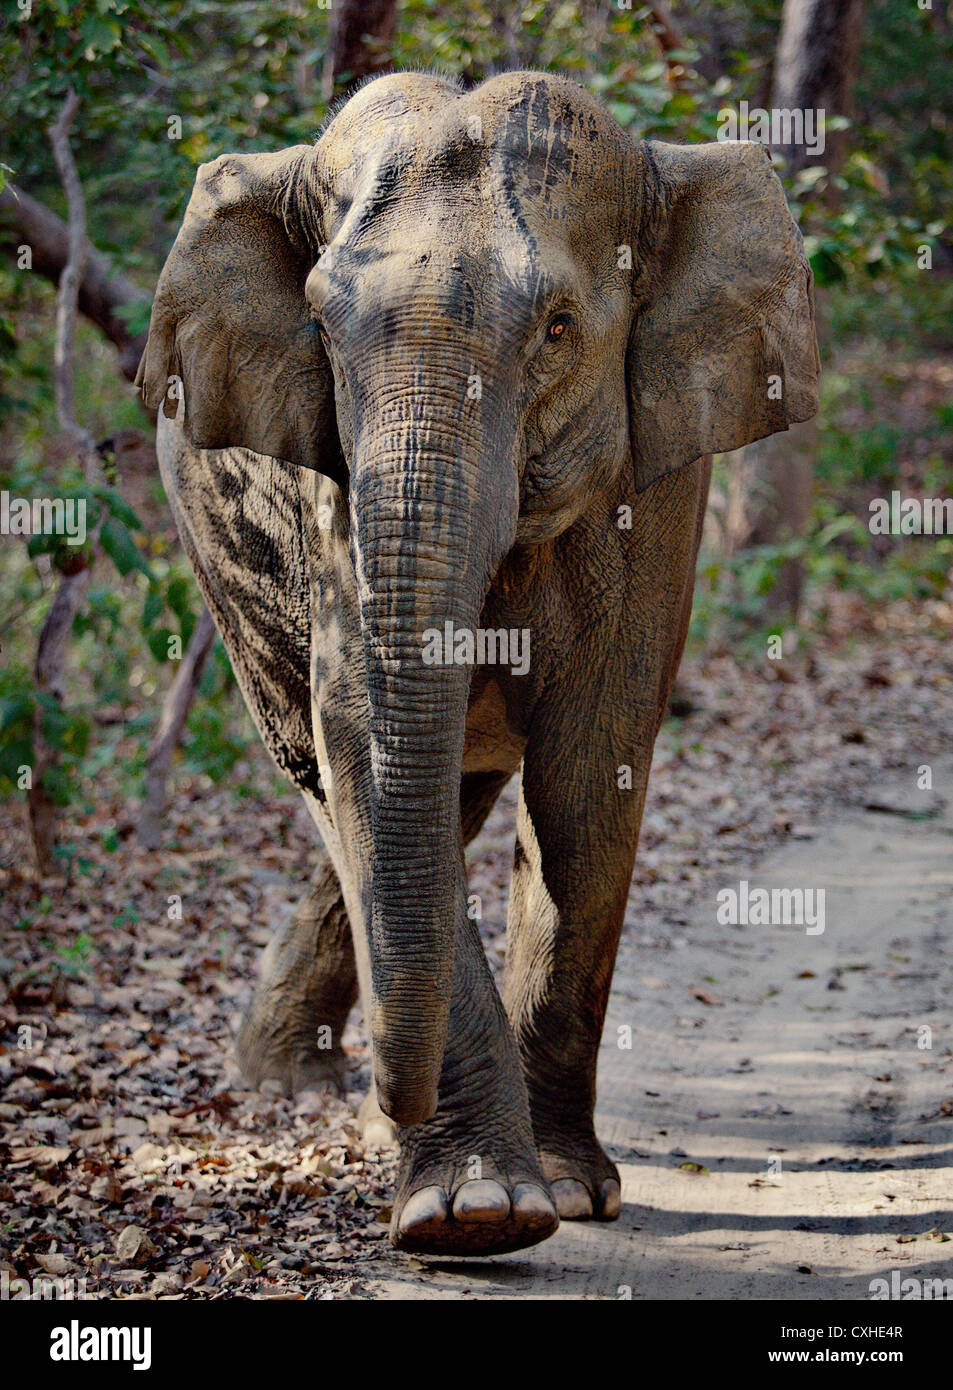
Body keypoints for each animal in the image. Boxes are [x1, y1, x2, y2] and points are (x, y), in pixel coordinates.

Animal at [136, 67, 822, 1262]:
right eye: (320, 326)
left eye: (557, 328)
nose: (387, 1102)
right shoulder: (325, 485)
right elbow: (359, 752)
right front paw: (474, 1215)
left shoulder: (657, 474)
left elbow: (590, 771)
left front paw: (562, 1194)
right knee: (335, 777)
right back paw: (299, 1083)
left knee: (448, 799)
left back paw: (302, 1080)